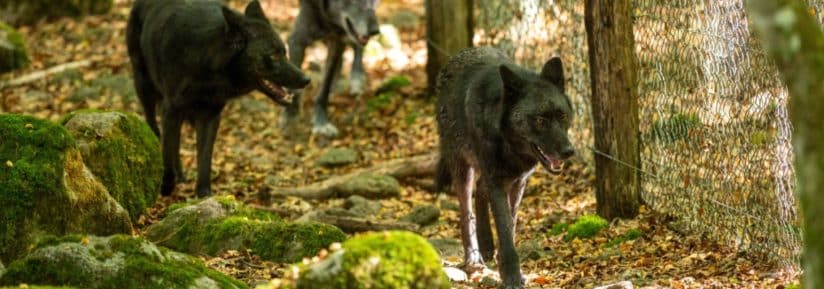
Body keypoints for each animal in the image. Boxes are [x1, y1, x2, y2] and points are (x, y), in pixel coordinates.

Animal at [125, 0, 308, 196]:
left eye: (284, 52)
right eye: (273, 54)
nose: (307, 80)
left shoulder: (210, 116)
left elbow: (204, 157)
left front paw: (203, 194)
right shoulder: (171, 109)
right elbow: (166, 150)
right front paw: (165, 187)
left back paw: (180, 174)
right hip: (145, 89)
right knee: (154, 127)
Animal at [278, 0, 378, 136]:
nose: (375, 30)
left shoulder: (337, 41)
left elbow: (325, 87)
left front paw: (321, 121)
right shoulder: (297, 41)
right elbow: (293, 89)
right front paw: (290, 118)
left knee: (357, 47)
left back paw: (356, 77)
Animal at [434, 46, 576, 286]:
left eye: (562, 116)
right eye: (539, 120)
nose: (569, 151)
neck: (508, 143)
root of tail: (457, 56)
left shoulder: (518, 181)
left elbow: (510, 224)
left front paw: (505, 266)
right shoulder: (497, 181)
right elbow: (503, 225)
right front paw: (511, 275)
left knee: (481, 192)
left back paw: (487, 245)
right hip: (463, 169)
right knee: (466, 213)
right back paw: (474, 258)